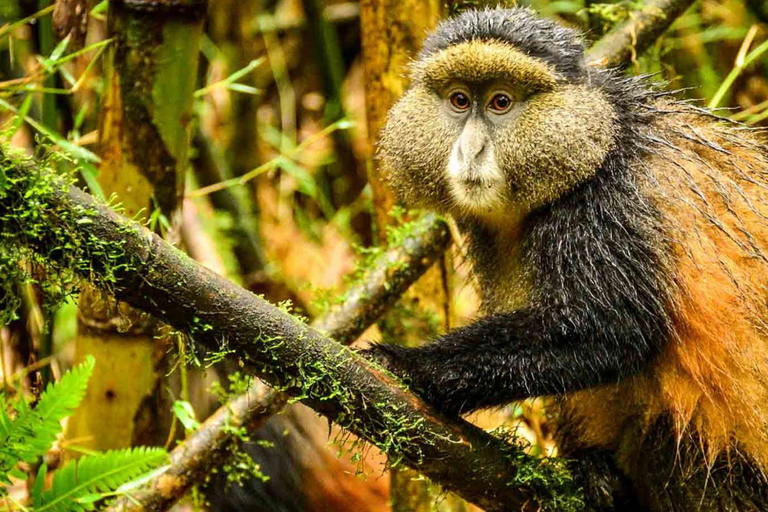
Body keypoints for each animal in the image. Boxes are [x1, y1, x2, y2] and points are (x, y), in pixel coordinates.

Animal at [363, 7, 768, 511]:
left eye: (500, 103)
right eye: (459, 100)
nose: (470, 150)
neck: (601, 137)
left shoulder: (604, 205)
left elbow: (612, 329)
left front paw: (408, 365)